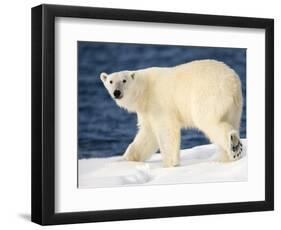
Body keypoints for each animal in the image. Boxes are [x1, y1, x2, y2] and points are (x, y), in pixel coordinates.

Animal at [100, 59, 243, 167]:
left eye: (124, 80)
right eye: (111, 81)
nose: (117, 92)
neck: (144, 90)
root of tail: (231, 81)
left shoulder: (159, 103)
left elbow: (166, 129)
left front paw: (169, 163)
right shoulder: (146, 110)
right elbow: (147, 134)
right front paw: (127, 159)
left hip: (207, 94)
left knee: (208, 121)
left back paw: (233, 145)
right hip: (234, 106)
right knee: (231, 121)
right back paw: (227, 156)